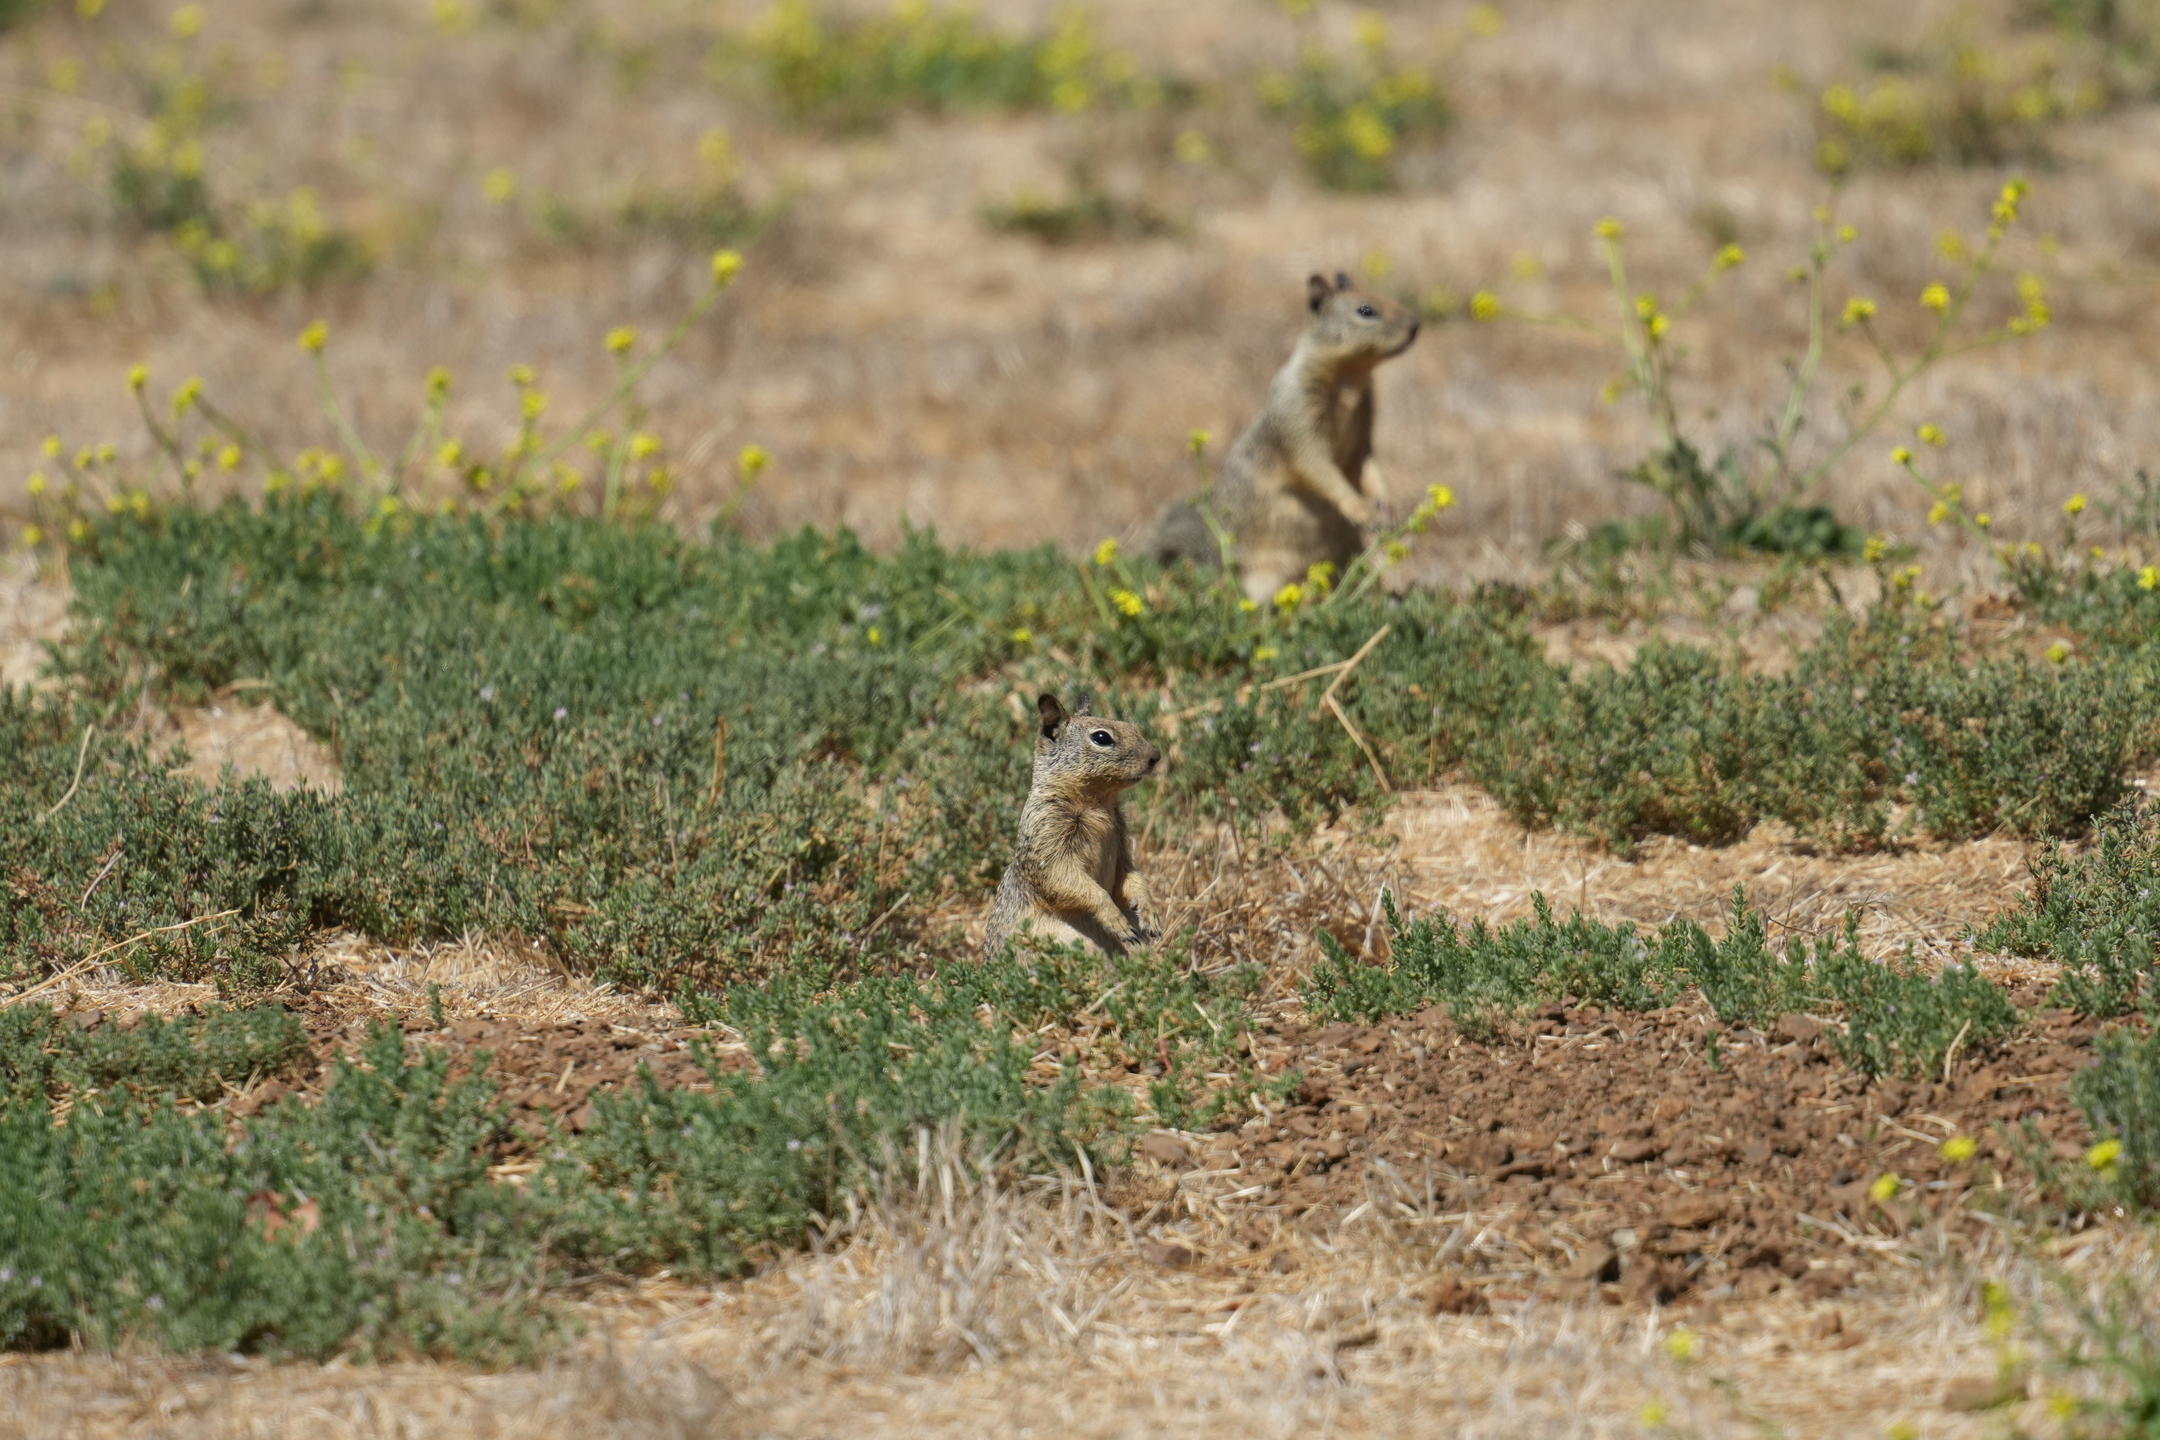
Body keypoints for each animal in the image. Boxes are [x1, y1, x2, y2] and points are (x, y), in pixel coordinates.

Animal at [983, 691, 1161, 958]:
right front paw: (1116, 920)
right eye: (1101, 737)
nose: (1156, 755)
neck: (1097, 804)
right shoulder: (1048, 838)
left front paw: (1150, 913)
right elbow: (1066, 880)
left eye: (1130, 726)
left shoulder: (1120, 844)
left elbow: (1132, 878)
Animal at [1148, 272, 1420, 604]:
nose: (1416, 325)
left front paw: (1386, 507)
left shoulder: (1363, 433)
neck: (1350, 381)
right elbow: (1319, 468)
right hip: (1262, 575)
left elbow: (1368, 469)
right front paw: (1360, 509)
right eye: (1366, 310)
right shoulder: (1299, 421)